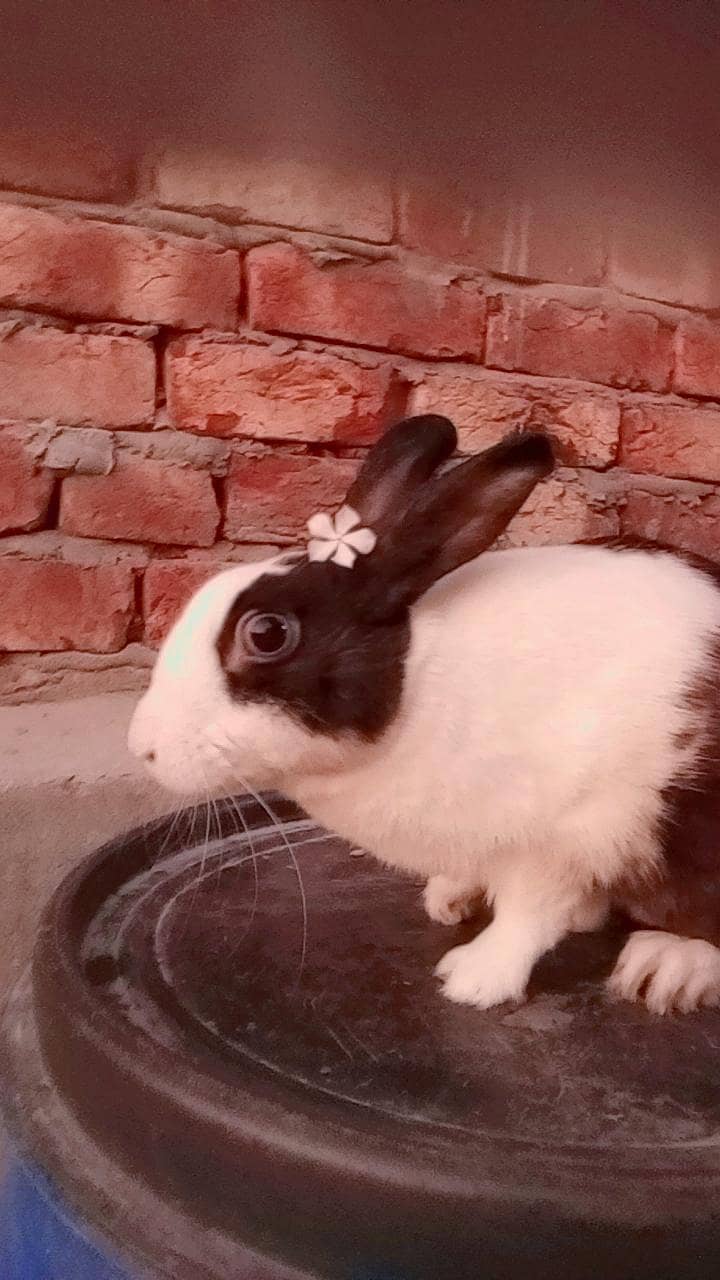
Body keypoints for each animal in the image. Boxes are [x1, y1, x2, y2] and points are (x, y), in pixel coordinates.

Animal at [129, 414, 720, 1016]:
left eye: (267, 634)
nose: (142, 747)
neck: (420, 688)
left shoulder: (572, 832)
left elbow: (529, 914)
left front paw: (473, 979)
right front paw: (449, 895)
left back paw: (667, 967)